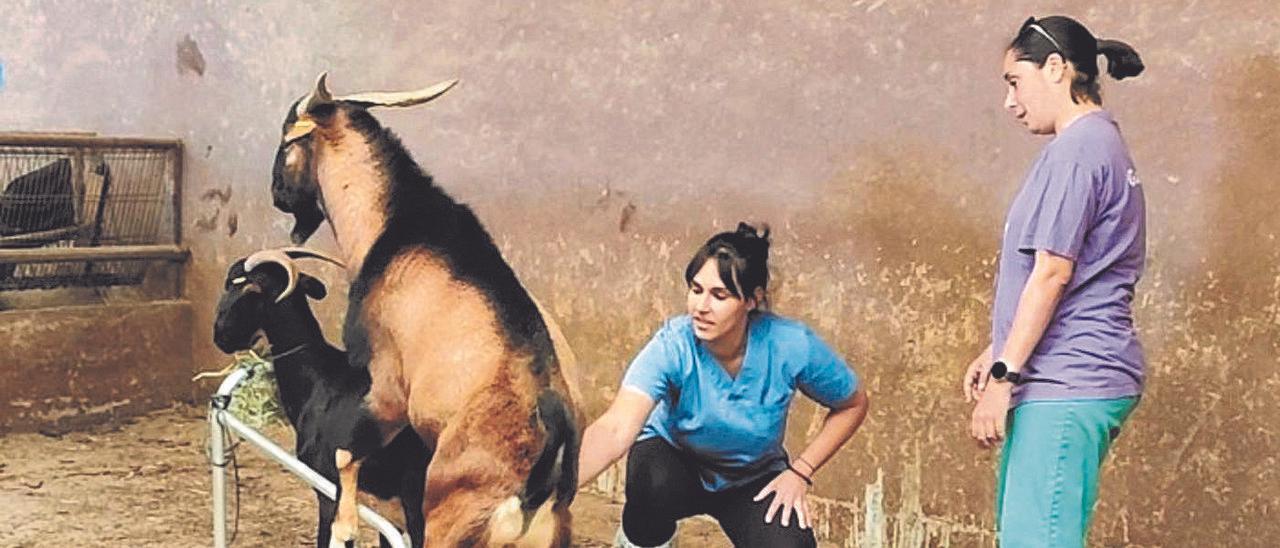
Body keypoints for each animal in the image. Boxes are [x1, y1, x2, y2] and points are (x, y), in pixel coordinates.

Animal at [272, 73, 583, 548]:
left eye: (287, 139)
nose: (277, 195)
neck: (394, 228)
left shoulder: (386, 385)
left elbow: (345, 454)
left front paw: (345, 527)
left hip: (449, 515)